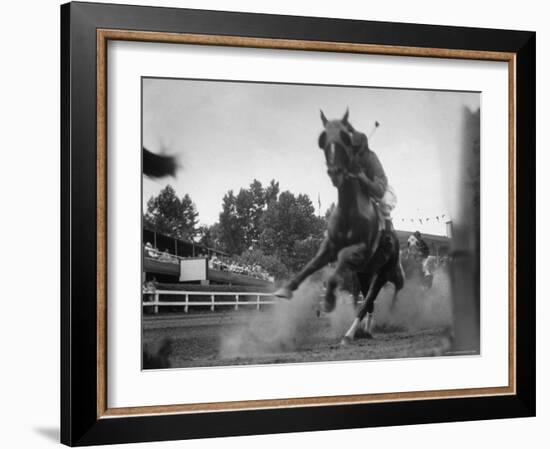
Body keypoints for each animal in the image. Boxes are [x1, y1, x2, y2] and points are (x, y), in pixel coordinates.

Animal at [276, 109, 406, 344]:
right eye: (322, 140)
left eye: (345, 138)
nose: (335, 172)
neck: (350, 211)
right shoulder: (330, 244)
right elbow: (312, 263)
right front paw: (286, 289)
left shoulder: (360, 251)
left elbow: (338, 267)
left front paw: (328, 300)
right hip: (364, 274)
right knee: (369, 304)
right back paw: (365, 331)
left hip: (382, 273)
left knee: (369, 301)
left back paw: (350, 333)